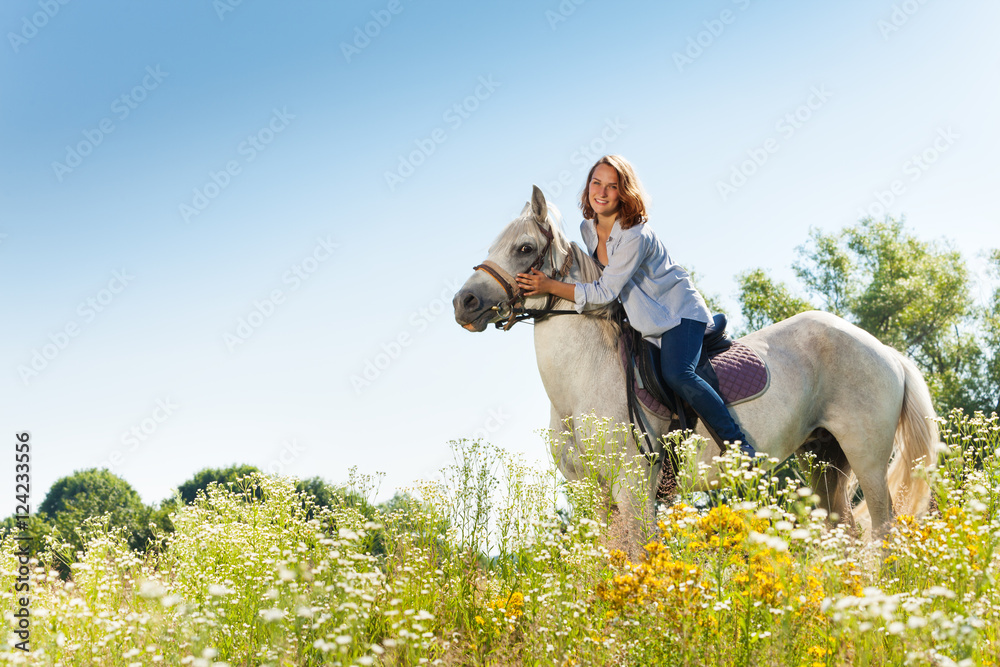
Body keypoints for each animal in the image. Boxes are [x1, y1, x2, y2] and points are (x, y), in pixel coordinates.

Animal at [458, 187, 940, 544]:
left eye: (524, 248)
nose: (464, 302)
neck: (579, 385)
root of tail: (886, 351)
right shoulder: (594, 492)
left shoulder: (634, 486)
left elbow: (635, 555)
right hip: (823, 460)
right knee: (846, 533)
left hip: (867, 457)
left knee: (883, 528)